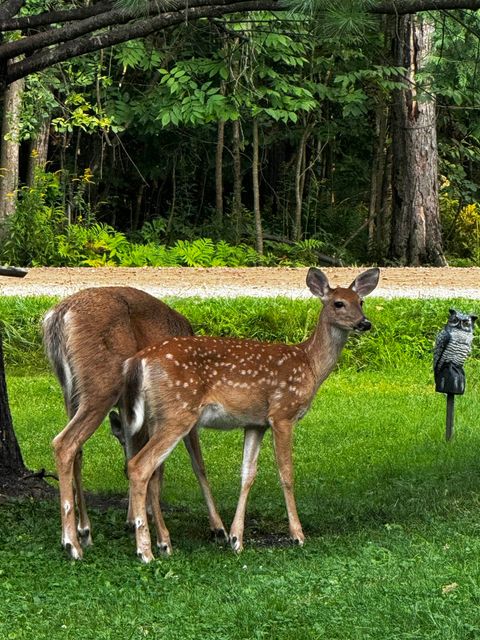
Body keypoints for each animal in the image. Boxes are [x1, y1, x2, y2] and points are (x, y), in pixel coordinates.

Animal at [44, 286, 226, 560]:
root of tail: (59, 314)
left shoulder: (132, 412)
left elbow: (134, 455)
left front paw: (135, 519)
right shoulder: (184, 406)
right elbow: (196, 465)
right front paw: (216, 528)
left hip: (72, 392)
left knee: (78, 451)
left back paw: (85, 531)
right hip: (103, 385)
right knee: (65, 443)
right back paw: (72, 543)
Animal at [120, 264, 378, 560]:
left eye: (361, 301)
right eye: (338, 303)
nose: (365, 323)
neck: (310, 365)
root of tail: (138, 360)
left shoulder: (255, 423)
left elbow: (247, 474)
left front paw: (236, 539)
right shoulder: (282, 413)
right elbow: (286, 473)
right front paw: (297, 534)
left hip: (158, 417)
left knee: (154, 473)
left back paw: (164, 543)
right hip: (178, 413)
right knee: (139, 466)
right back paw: (145, 551)